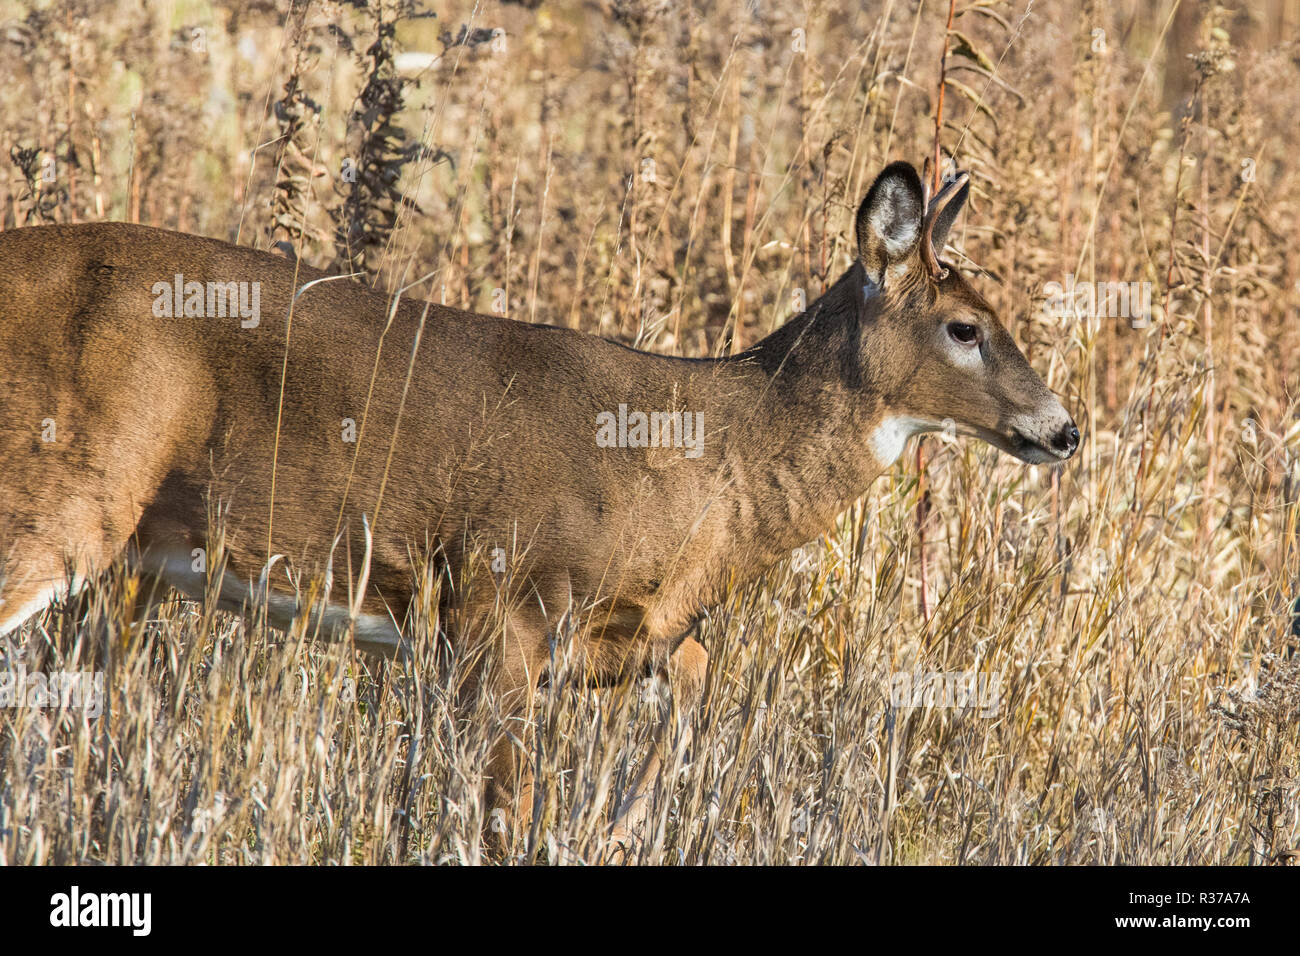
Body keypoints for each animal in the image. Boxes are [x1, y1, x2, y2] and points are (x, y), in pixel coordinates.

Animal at [0, 160, 1076, 858]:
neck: (701, 458)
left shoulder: (622, 628)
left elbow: (697, 681)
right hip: (59, 494)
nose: (1063, 429)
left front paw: (620, 826)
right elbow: (499, 809)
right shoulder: (499, 595)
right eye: (965, 327)